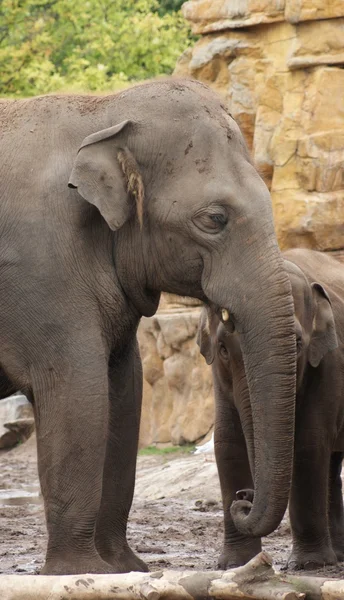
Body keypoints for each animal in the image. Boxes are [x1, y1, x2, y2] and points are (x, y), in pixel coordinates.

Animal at [0, 77, 296, 576]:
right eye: (214, 219)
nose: (241, 498)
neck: (103, 111)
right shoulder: (40, 271)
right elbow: (78, 394)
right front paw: (81, 573)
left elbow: (124, 394)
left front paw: (127, 568)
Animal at [196, 248, 344, 572]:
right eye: (223, 349)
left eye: (297, 344)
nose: (244, 495)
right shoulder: (218, 379)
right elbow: (227, 441)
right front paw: (233, 564)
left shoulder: (329, 363)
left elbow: (308, 442)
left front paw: (307, 565)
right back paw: (338, 556)